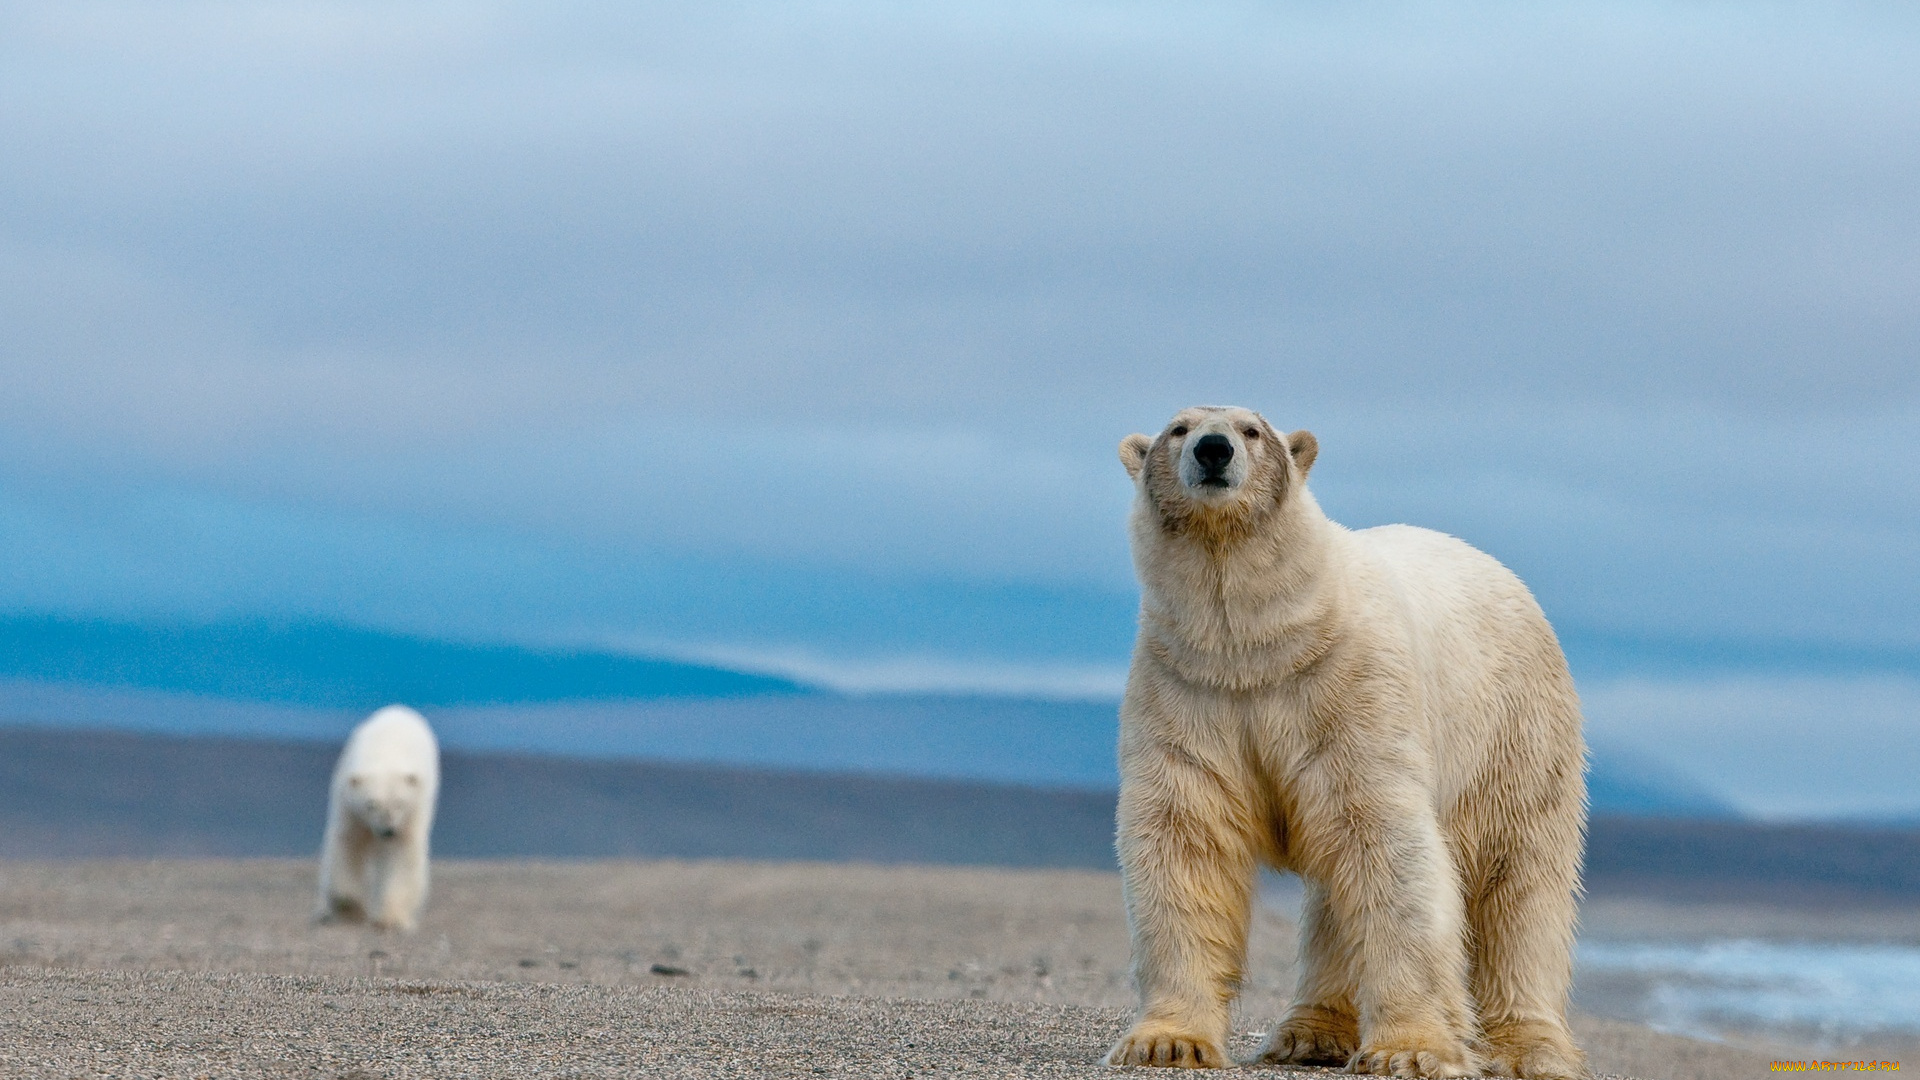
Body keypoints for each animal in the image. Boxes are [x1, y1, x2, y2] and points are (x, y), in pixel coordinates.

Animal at [316, 703, 439, 930]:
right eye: (371, 804)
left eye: (400, 803)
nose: (388, 831)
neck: (384, 756)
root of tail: (399, 709)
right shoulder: (349, 807)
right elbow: (349, 846)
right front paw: (350, 906)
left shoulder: (410, 815)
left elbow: (401, 856)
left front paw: (391, 919)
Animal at [1105, 405, 1582, 1076]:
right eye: (1179, 428)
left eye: (1253, 430)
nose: (1213, 449)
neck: (1258, 646)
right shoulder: (1188, 691)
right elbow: (1185, 838)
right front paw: (1167, 1041)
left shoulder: (1351, 687)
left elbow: (1388, 847)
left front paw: (1408, 1051)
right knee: (1336, 886)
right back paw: (1309, 1033)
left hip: (1515, 732)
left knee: (1516, 877)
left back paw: (1529, 1046)